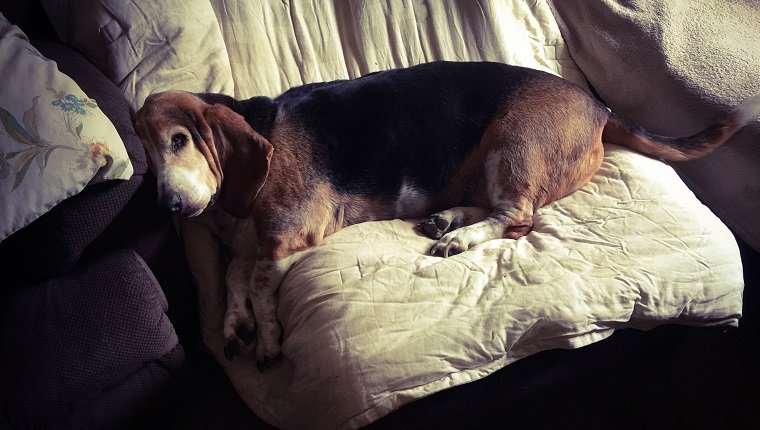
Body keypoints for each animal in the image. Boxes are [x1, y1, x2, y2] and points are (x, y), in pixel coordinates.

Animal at [135, 59, 760, 366]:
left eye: (180, 140)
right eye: (144, 151)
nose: (169, 205)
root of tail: (600, 108)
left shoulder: (288, 238)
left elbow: (262, 288)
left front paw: (264, 339)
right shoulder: (248, 244)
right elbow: (235, 279)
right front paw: (234, 325)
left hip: (515, 142)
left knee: (518, 217)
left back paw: (459, 237)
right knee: (500, 208)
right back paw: (447, 221)